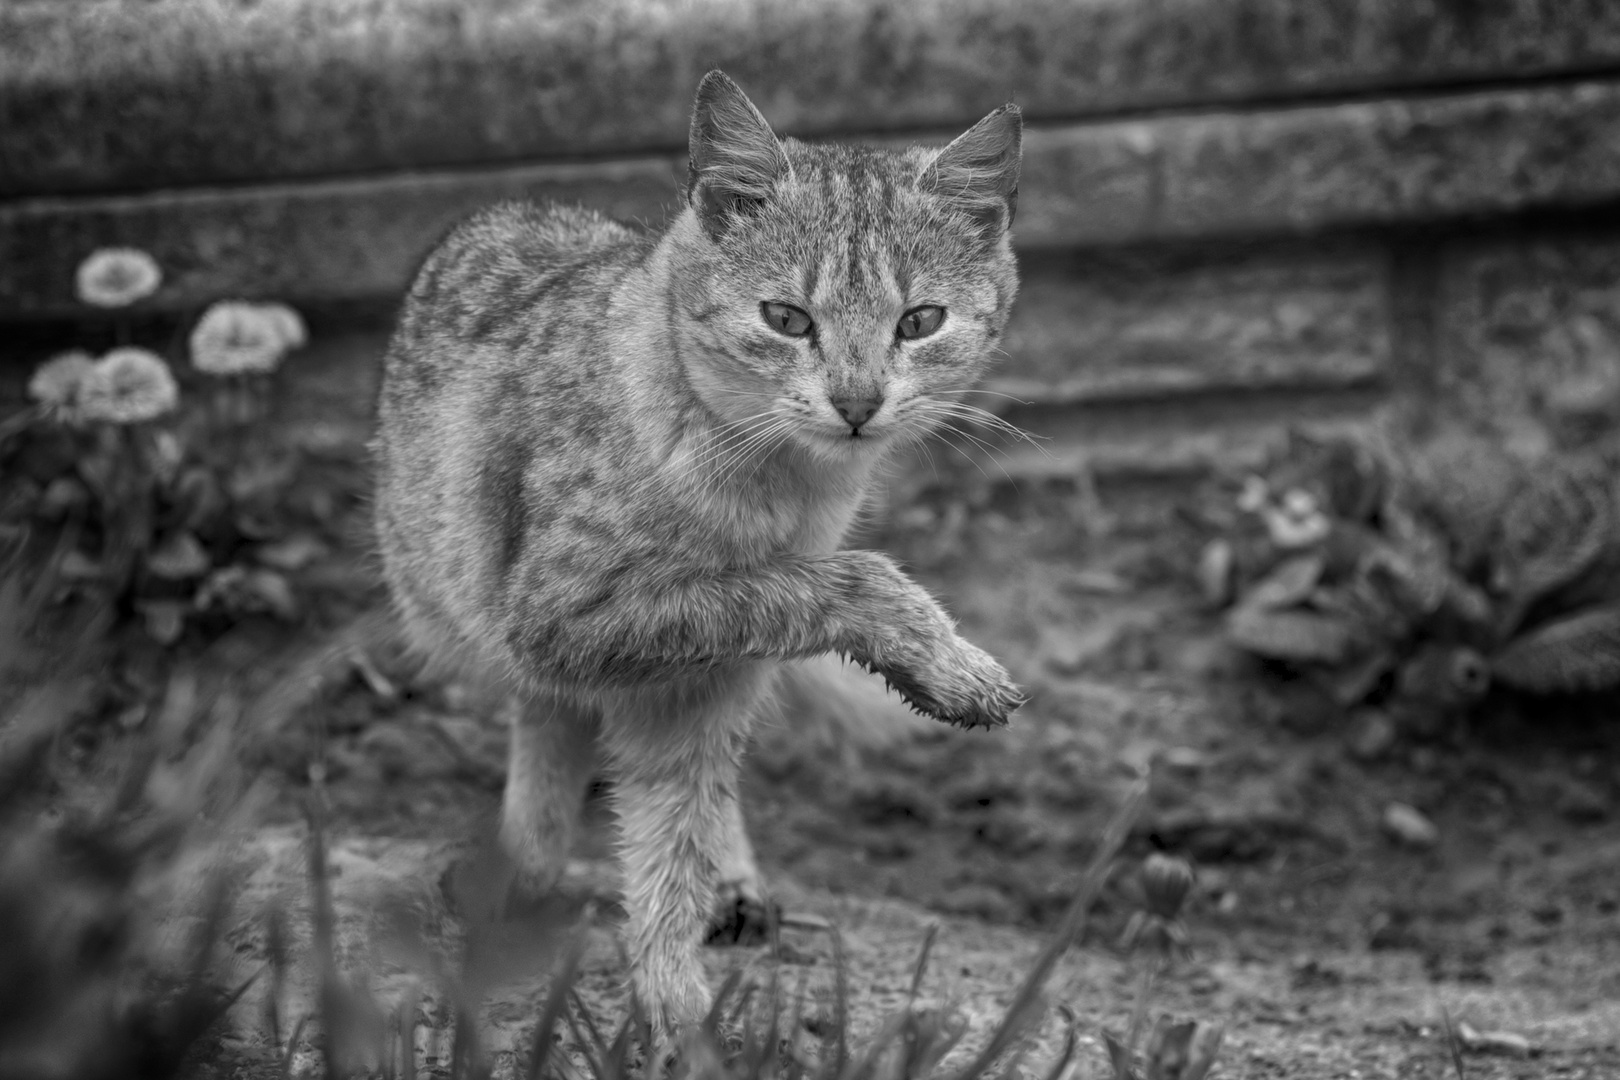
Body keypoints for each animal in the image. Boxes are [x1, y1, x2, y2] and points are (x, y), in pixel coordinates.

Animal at [372, 69, 1017, 1036]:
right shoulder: (563, 620)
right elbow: (849, 579)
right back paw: (523, 868)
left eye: (921, 321)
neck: (774, 489)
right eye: (786, 319)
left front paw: (675, 990)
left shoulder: (704, 672)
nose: (857, 402)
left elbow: (676, 829)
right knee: (549, 725)